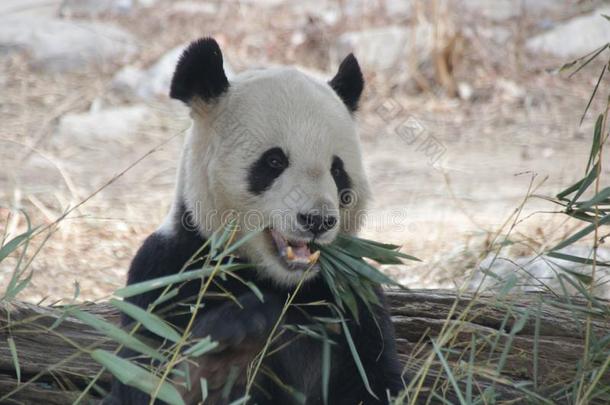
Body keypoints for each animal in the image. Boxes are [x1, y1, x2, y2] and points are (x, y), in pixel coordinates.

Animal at [108, 38, 404, 404]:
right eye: (274, 161)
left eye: (337, 171)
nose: (317, 220)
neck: (277, 280)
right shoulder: (167, 271)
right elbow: (144, 372)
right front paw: (240, 327)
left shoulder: (349, 292)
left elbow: (375, 380)